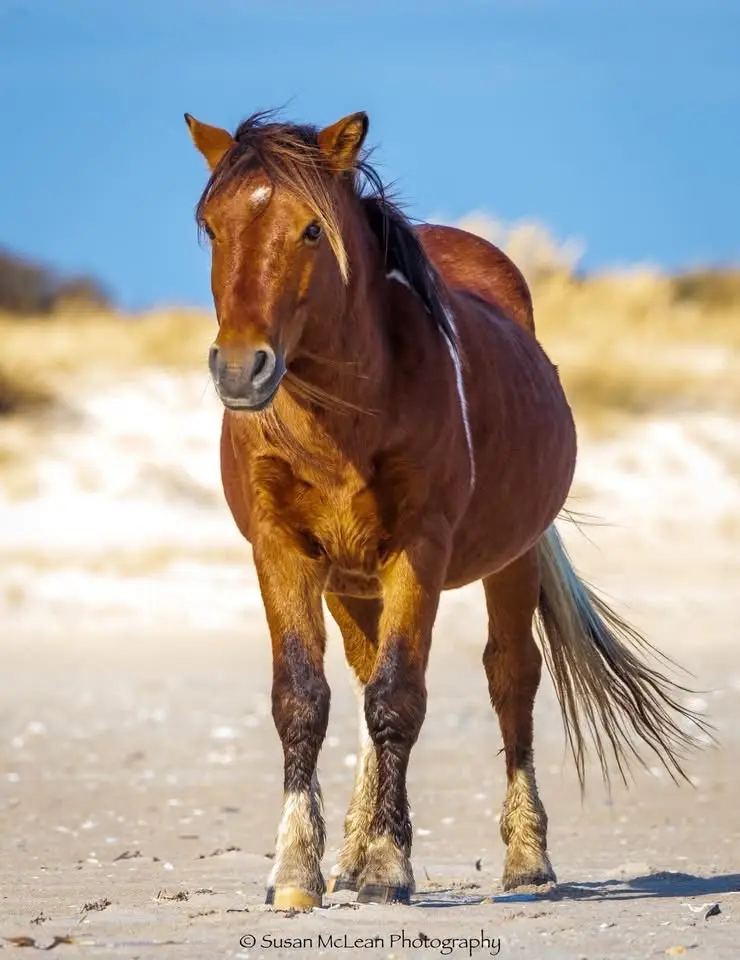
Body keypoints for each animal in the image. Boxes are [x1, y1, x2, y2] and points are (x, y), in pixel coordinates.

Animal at [183, 109, 706, 909]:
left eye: (311, 229)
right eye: (212, 228)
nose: (241, 369)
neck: (341, 414)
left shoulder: (419, 549)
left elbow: (400, 699)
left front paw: (389, 867)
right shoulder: (281, 550)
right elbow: (303, 698)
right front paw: (300, 871)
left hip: (509, 561)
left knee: (511, 680)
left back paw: (527, 861)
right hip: (352, 583)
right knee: (366, 679)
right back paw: (352, 853)